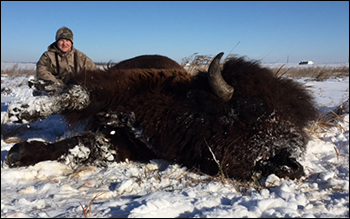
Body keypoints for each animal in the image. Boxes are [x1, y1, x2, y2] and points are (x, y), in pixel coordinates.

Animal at [4, 52, 318, 181]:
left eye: (300, 125)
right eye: (254, 110)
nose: (291, 166)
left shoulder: (126, 146)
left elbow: (82, 147)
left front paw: (20, 152)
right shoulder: (123, 85)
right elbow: (80, 94)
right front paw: (20, 114)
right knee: (65, 86)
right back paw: (36, 88)